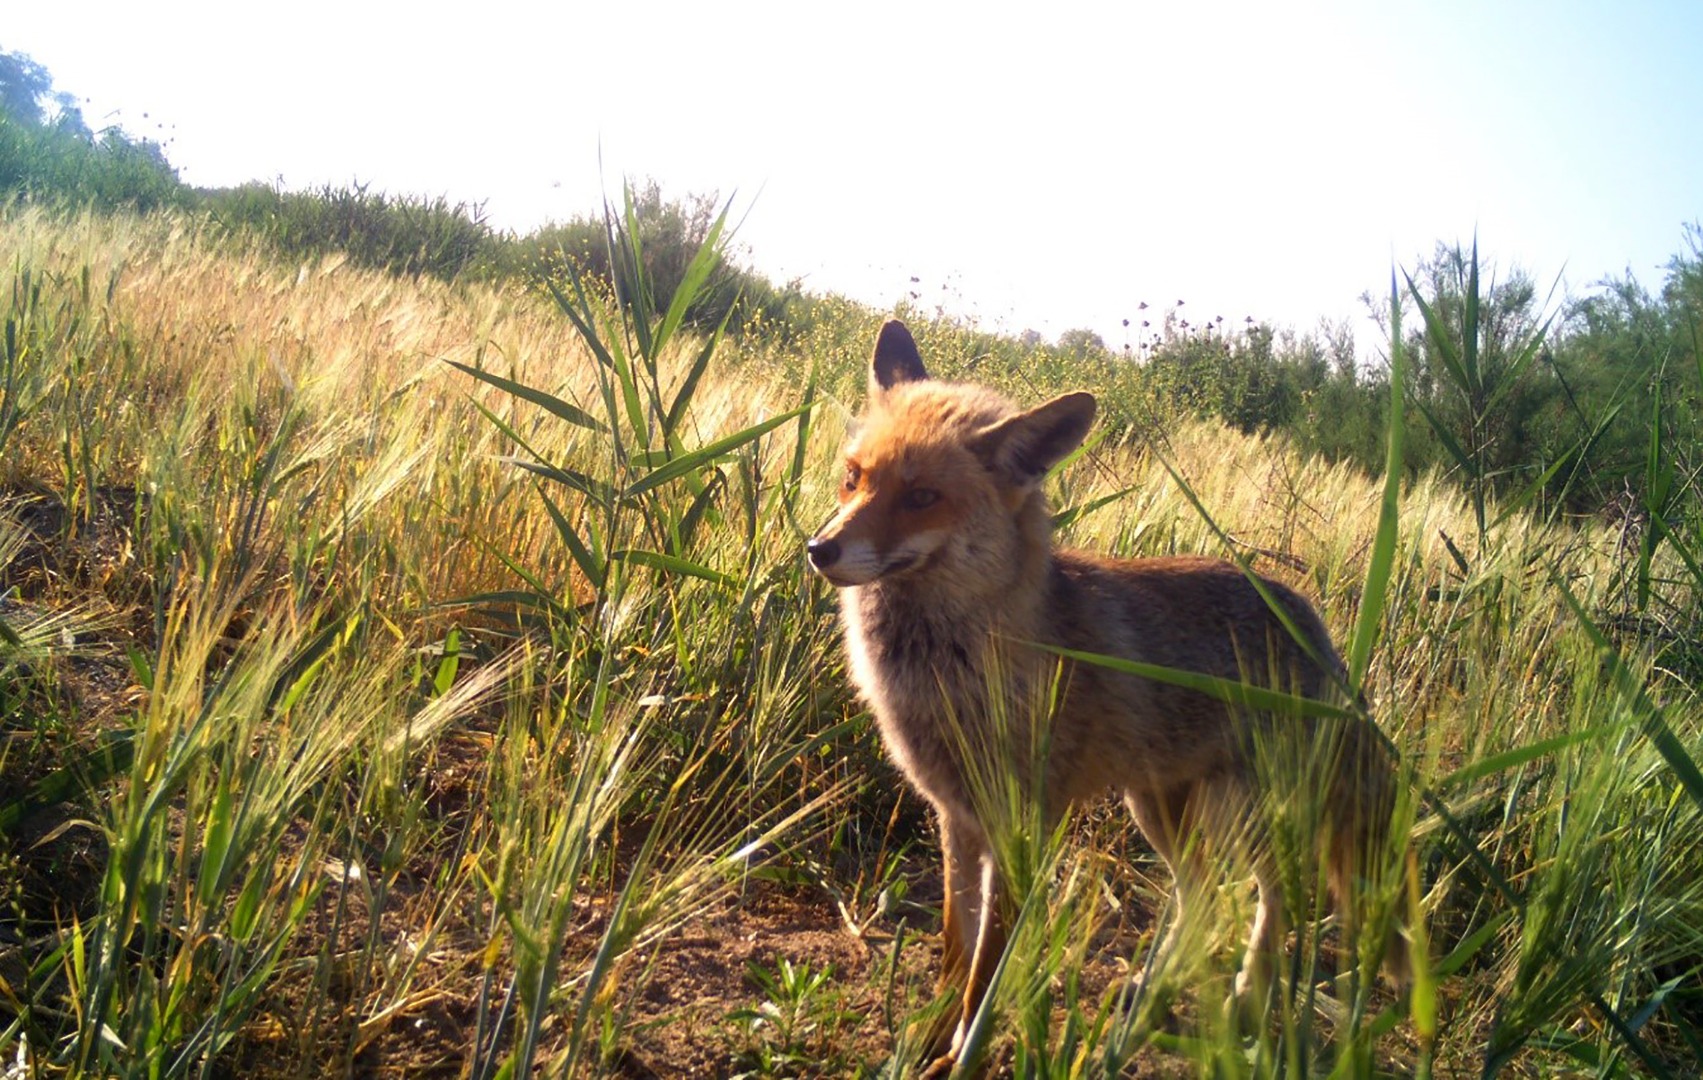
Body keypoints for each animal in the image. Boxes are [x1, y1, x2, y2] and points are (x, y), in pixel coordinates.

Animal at [803, 320, 1403, 1069]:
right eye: (853, 478)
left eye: (920, 497)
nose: (819, 549)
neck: (954, 672)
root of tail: (1310, 622)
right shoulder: (956, 819)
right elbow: (952, 950)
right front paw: (928, 1044)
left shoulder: (1022, 828)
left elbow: (985, 972)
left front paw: (962, 1057)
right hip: (1158, 809)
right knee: (1204, 895)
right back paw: (1158, 991)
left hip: (1246, 816)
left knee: (1278, 897)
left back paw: (1242, 994)